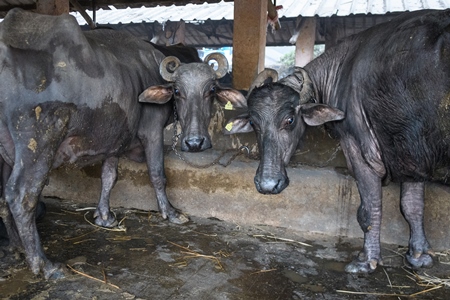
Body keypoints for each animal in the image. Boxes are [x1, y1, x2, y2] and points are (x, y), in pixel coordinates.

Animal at [225, 8, 450, 272]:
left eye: (290, 120)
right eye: (254, 123)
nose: (267, 185)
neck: (343, 70)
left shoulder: (362, 150)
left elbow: (369, 208)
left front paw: (366, 260)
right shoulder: (410, 151)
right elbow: (412, 206)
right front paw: (419, 255)